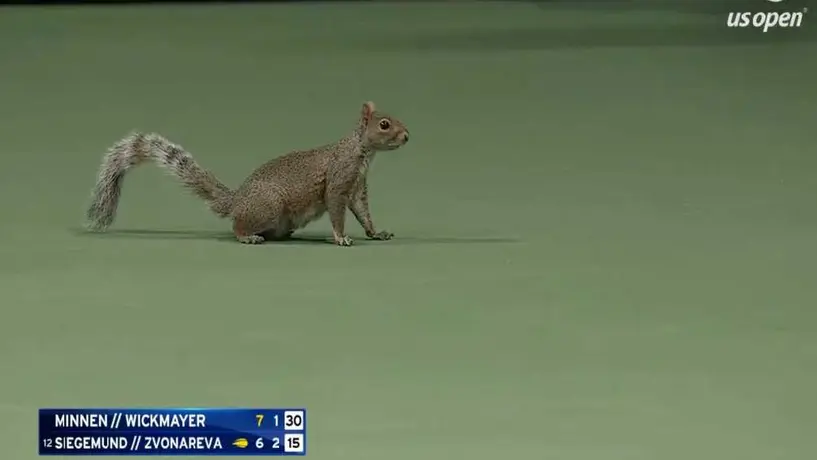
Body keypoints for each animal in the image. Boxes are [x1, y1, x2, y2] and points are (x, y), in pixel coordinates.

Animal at [85, 101, 410, 246]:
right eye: (384, 124)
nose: (407, 136)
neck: (361, 151)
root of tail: (237, 201)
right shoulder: (338, 183)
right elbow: (337, 213)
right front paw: (341, 238)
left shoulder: (357, 188)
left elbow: (363, 213)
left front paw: (376, 233)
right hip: (269, 206)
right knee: (236, 226)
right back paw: (248, 236)